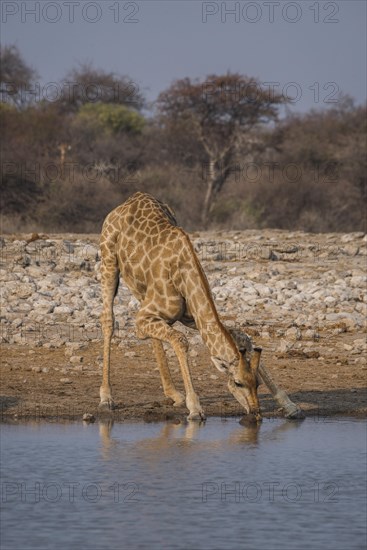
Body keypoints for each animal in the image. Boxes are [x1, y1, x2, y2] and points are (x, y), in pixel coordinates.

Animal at [99, 194, 304, 422]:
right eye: (238, 383)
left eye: (257, 383)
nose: (255, 414)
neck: (184, 272)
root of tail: (129, 200)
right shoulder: (144, 317)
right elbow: (180, 340)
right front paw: (195, 408)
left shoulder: (193, 317)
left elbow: (241, 336)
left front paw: (290, 406)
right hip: (108, 261)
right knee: (108, 320)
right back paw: (106, 398)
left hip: (141, 290)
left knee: (151, 335)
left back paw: (174, 394)